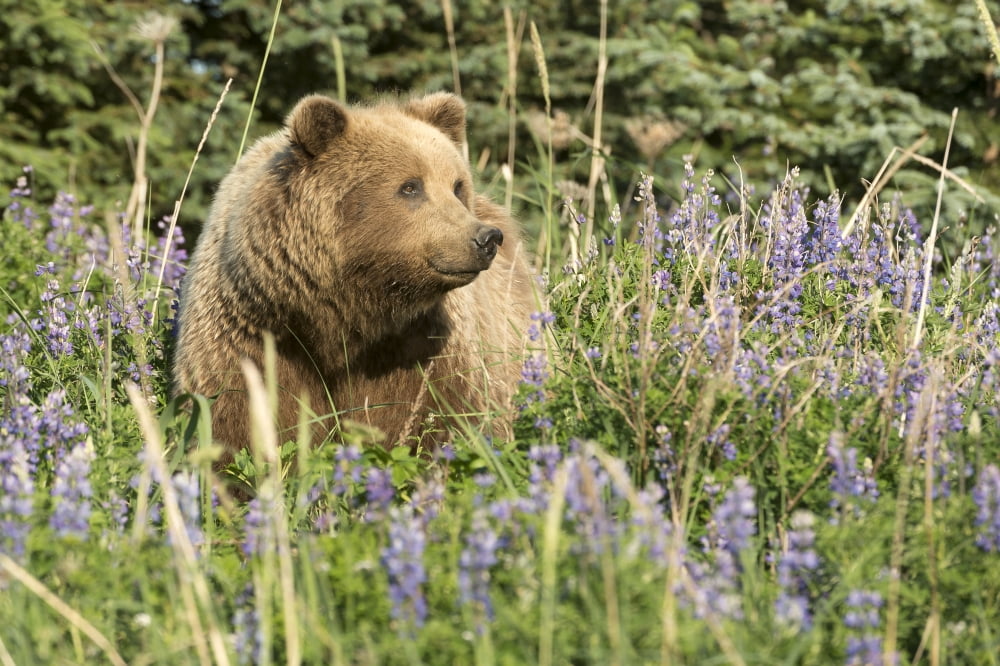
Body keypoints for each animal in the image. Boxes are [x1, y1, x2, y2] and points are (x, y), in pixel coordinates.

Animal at [172, 92, 535, 467]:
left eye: (457, 186)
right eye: (410, 187)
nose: (486, 238)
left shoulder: (420, 345)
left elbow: (437, 417)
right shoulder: (254, 335)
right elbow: (237, 418)